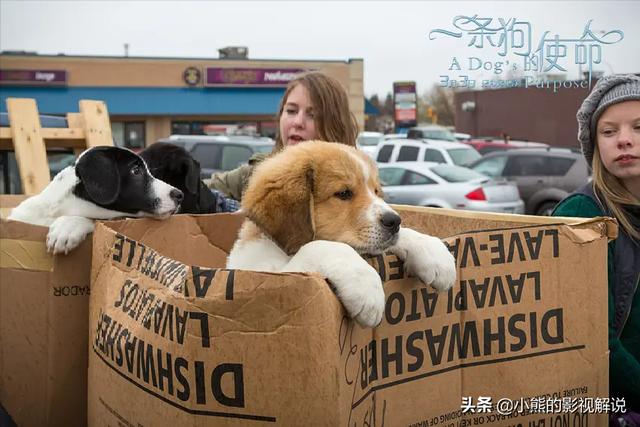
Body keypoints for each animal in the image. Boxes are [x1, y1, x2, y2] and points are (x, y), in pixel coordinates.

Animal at [225, 143, 456, 328]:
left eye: (376, 191)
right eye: (344, 193)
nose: (394, 221)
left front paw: (435, 254)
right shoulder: (273, 276)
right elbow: (323, 246)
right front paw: (367, 290)